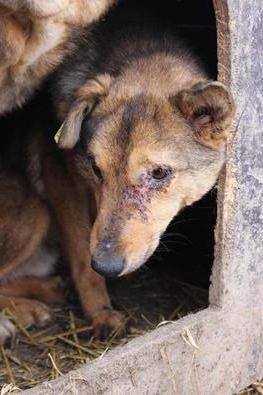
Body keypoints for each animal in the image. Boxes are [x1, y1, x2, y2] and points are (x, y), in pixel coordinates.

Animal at [0, 10, 235, 344]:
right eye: (95, 169)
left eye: (159, 173)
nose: (106, 265)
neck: (141, 48)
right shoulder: (57, 169)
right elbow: (81, 253)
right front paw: (101, 313)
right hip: (33, 211)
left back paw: (51, 288)